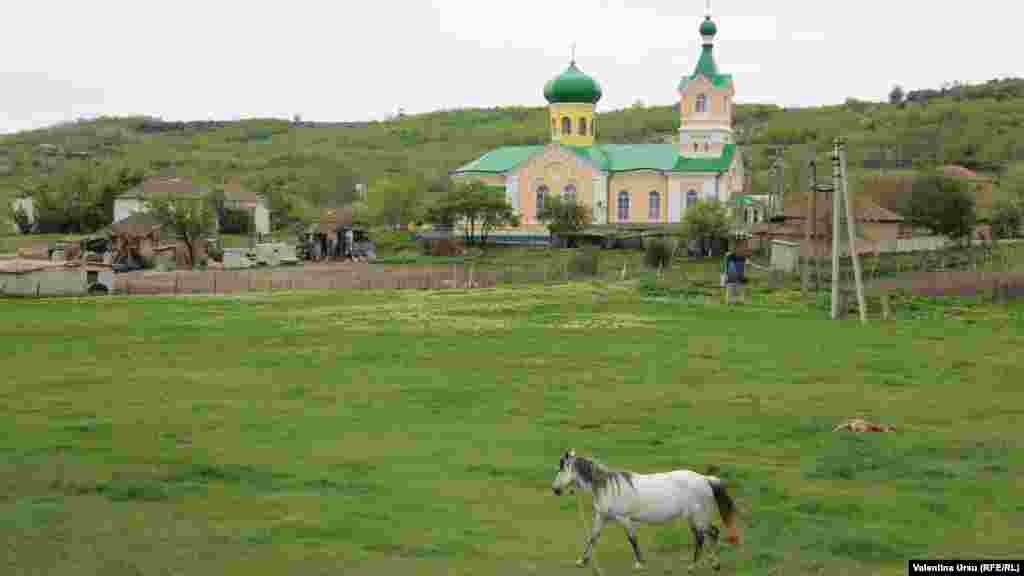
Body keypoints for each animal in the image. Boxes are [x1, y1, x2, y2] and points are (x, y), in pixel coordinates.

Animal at [557, 448, 741, 569]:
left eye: (562, 469)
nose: (555, 490)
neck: (608, 487)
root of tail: (705, 479)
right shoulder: (602, 517)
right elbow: (593, 537)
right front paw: (582, 561)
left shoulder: (624, 519)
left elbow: (632, 539)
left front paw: (639, 563)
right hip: (696, 517)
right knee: (710, 534)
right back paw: (714, 564)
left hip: (697, 516)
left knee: (704, 536)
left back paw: (694, 565)